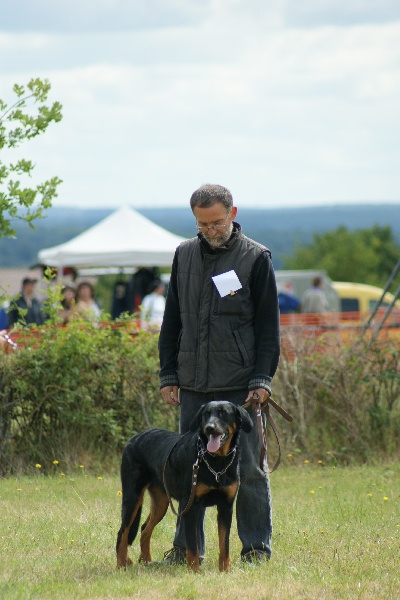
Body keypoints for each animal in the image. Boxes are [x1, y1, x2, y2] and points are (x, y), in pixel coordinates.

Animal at [116, 400, 253, 568]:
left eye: (223, 413)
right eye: (206, 414)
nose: (209, 427)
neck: (215, 462)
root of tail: (133, 439)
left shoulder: (226, 507)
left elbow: (224, 546)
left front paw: (225, 570)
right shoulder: (190, 505)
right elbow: (193, 547)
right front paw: (195, 570)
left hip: (161, 502)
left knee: (144, 528)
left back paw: (146, 560)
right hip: (132, 496)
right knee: (122, 532)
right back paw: (122, 563)